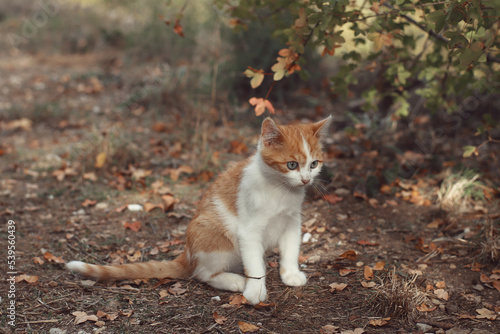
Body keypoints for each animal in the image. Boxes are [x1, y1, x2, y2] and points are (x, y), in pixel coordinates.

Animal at [67, 117, 332, 306]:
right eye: (292, 165)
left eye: (314, 164)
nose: (306, 180)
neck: (280, 191)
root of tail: (187, 253)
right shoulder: (248, 231)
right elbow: (255, 266)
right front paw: (255, 290)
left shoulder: (292, 221)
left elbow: (290, 251)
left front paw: (290, 274)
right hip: (212, 230)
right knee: (203, 273)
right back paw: (236, 281)